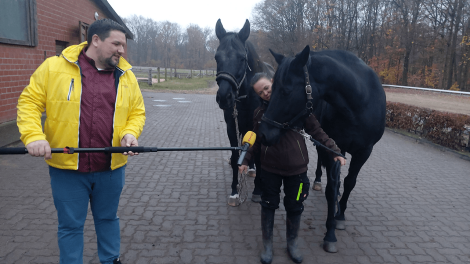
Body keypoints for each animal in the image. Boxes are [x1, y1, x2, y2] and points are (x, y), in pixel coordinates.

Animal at [215, 19, 274, 206]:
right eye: (216, 57)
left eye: (242, 58)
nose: (224, 97)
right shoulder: (232, 127)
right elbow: (236, 157)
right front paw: (235, 192)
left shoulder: (259, 128)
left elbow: (260, 158)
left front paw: (258, 191)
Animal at [260, 45, 386, 252]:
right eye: (272, 88)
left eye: (286, 91)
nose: (263, 134)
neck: (361, 101)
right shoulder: (334, 147)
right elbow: (332, 188)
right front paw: (330, 233)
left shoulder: (364, 151)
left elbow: (350, 182)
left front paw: (340, 215)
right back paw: (319, 181)